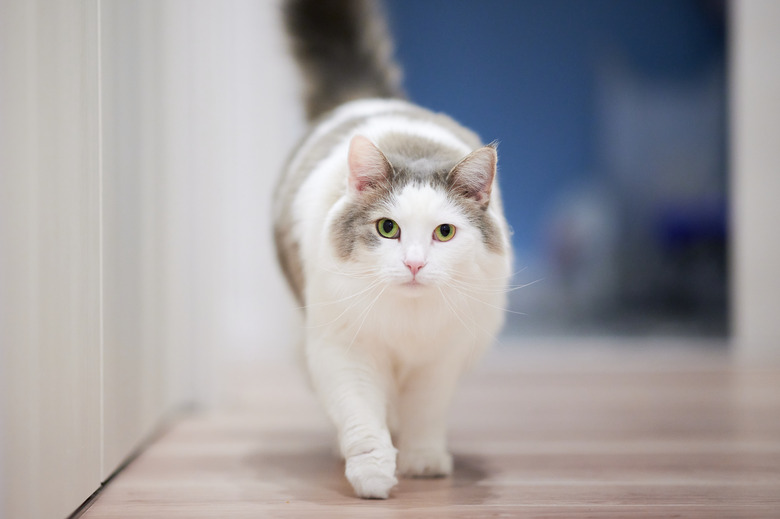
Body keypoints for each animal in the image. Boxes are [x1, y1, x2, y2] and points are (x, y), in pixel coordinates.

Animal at [272, 0, 512, 500]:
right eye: (388, 229)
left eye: (444, 233)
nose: (414, 263)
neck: (408, 323)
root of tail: (366, 100)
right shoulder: (346, 350)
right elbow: (362, 419)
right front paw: (372, 476)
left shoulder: (440, 359)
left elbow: (424, 413)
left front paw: (424, 462)